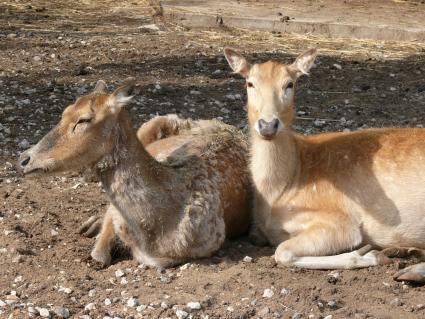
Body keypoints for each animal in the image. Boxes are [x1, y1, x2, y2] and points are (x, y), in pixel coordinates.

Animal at [222, 47, 424, 282]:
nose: (268, 125)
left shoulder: (341, 222)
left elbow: (282, 251)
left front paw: (371, 254)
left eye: (289, 84)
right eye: (250, 83)